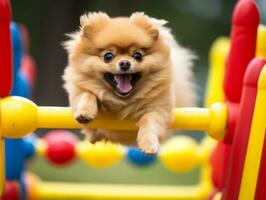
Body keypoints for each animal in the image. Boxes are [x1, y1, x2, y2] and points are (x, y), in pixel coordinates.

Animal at [62, 11, 195, 154]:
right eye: (108, 56)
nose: (125, 63)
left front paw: (148, 144)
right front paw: (85, 113)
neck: (122, 102)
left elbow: (148, 121)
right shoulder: (79, 90)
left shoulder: (159, 110)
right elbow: (87, 95)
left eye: (137, 56)